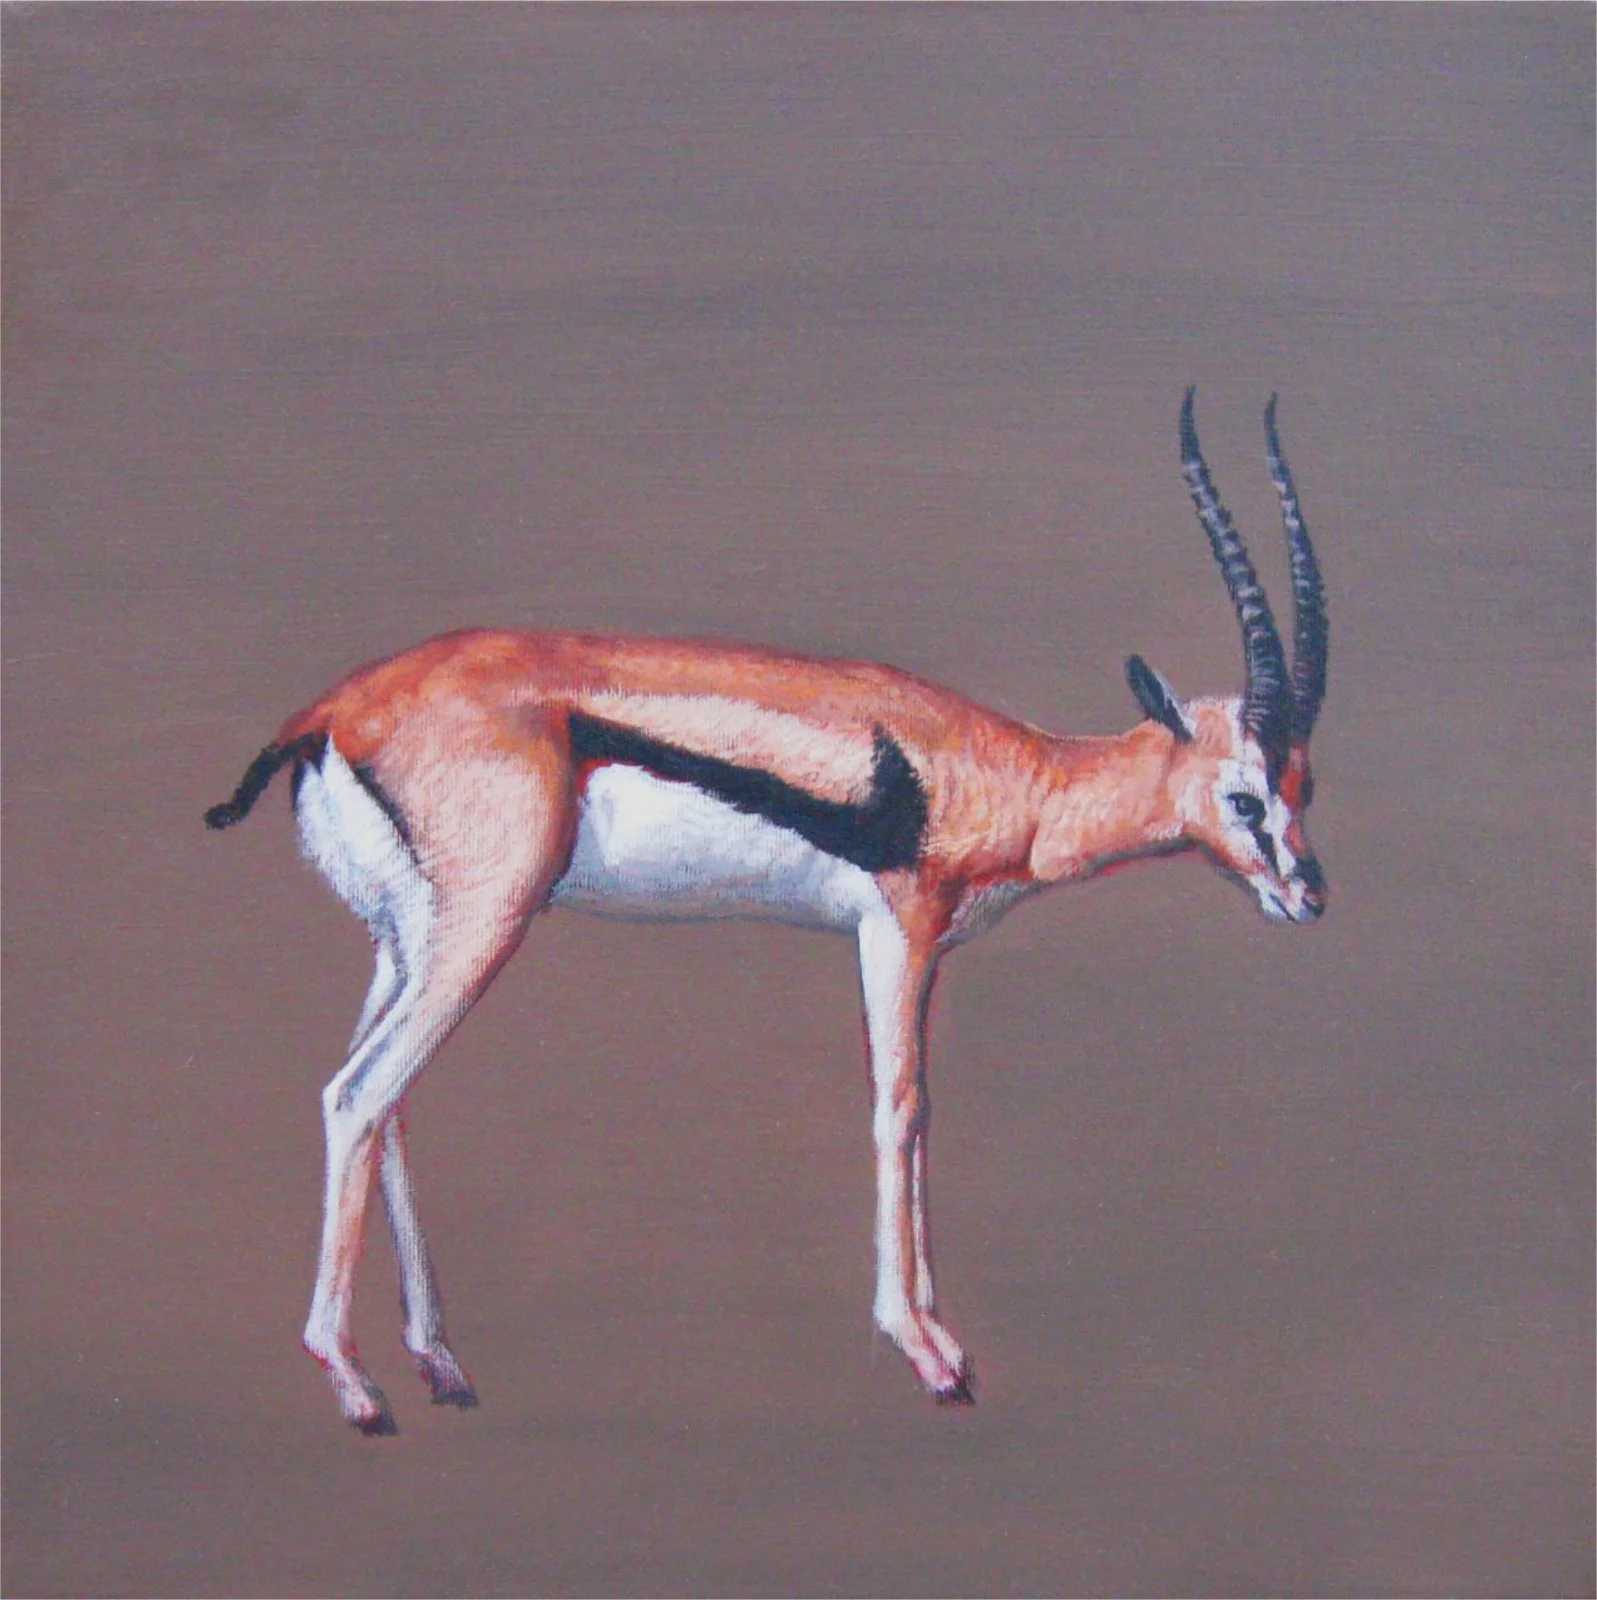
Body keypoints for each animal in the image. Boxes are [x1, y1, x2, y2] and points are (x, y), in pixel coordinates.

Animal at [206, 390, 1328, 1434]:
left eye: (1305, 782)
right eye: (1243, 794)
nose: (1308, 895)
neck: (1002, 771)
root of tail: (329, 713)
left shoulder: (913, 947)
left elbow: (919, 1112)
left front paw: (942, 1336)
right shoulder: (897, 930)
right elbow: (898, 1107)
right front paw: (928, 1353)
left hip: (406, 937)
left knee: (383, 1095)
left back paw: (440, 1365)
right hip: (483, 924)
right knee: (357, 1093)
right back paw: (356, 1386)